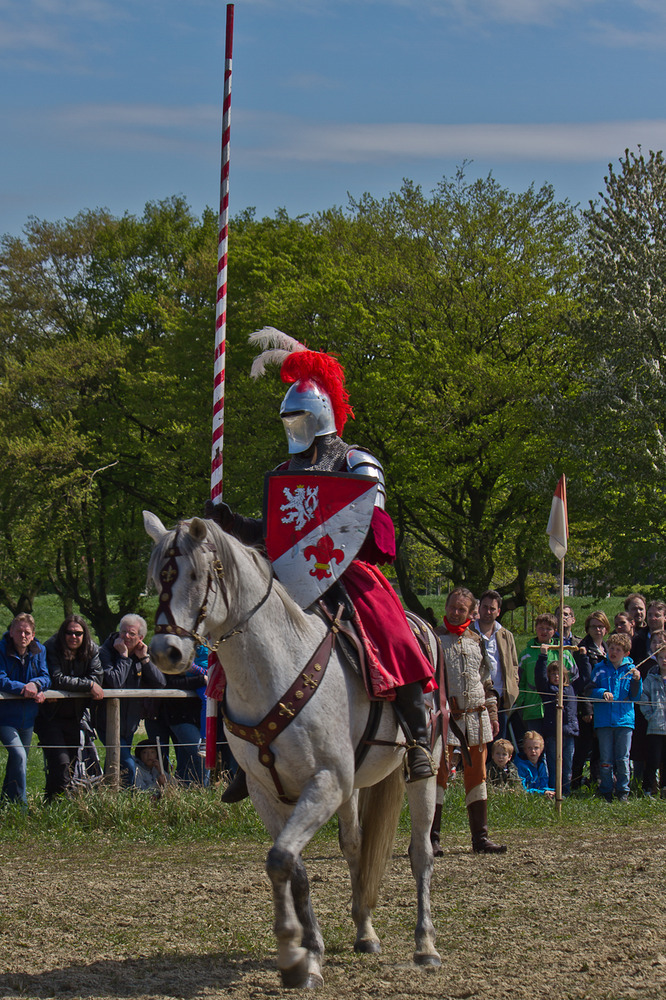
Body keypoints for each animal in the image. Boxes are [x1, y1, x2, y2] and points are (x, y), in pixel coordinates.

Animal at [143, 512, 438, 988]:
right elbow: (292, 866)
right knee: (355, 846)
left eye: (195, 575)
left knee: (421, 852)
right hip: (352, 785)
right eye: (156, 579)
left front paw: (291, 948)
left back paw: (426, 945)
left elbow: (281, 857)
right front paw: (307, 955)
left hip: (427, 762)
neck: (272, 668)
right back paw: (365, 931)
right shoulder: (270, 792)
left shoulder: (325, 782)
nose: (164, 653)